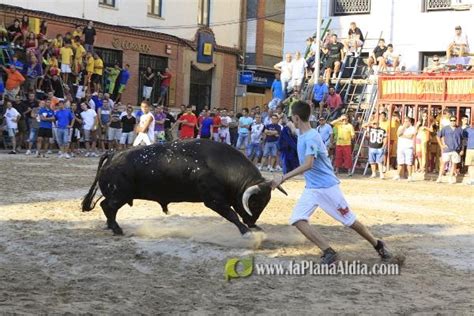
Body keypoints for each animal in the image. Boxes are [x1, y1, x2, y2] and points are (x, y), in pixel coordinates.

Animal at [82, 139, 286, 236]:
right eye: (255, 202)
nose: (252, 221)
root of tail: (113, 154)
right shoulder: (214, 200)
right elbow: (232, 215)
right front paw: (246, 232)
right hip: (120, 195)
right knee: (107, 206)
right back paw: (116, 229)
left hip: (119, 195)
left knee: (108, 208)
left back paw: (111, 226)